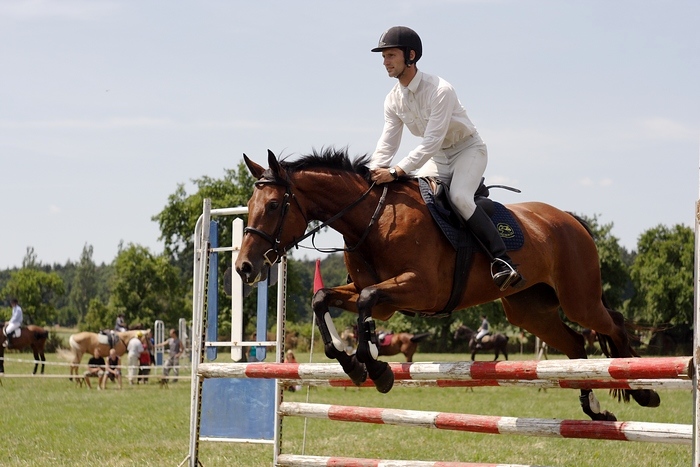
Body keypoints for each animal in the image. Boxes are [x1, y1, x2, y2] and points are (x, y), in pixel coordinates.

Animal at [235, 150, 660, 424]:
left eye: (273, 206)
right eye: (250, 205)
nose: (244, 267)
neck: (371, 219)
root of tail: (570, 219)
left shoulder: (420, 289)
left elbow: (367, 303)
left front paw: (376, 367)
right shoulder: (380, 296)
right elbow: (323, 298)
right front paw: (351, 363)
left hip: (578, 299)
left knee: (613, 327)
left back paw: (643, 391)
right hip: (529, 311)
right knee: (575, 345)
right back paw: (596, 410)